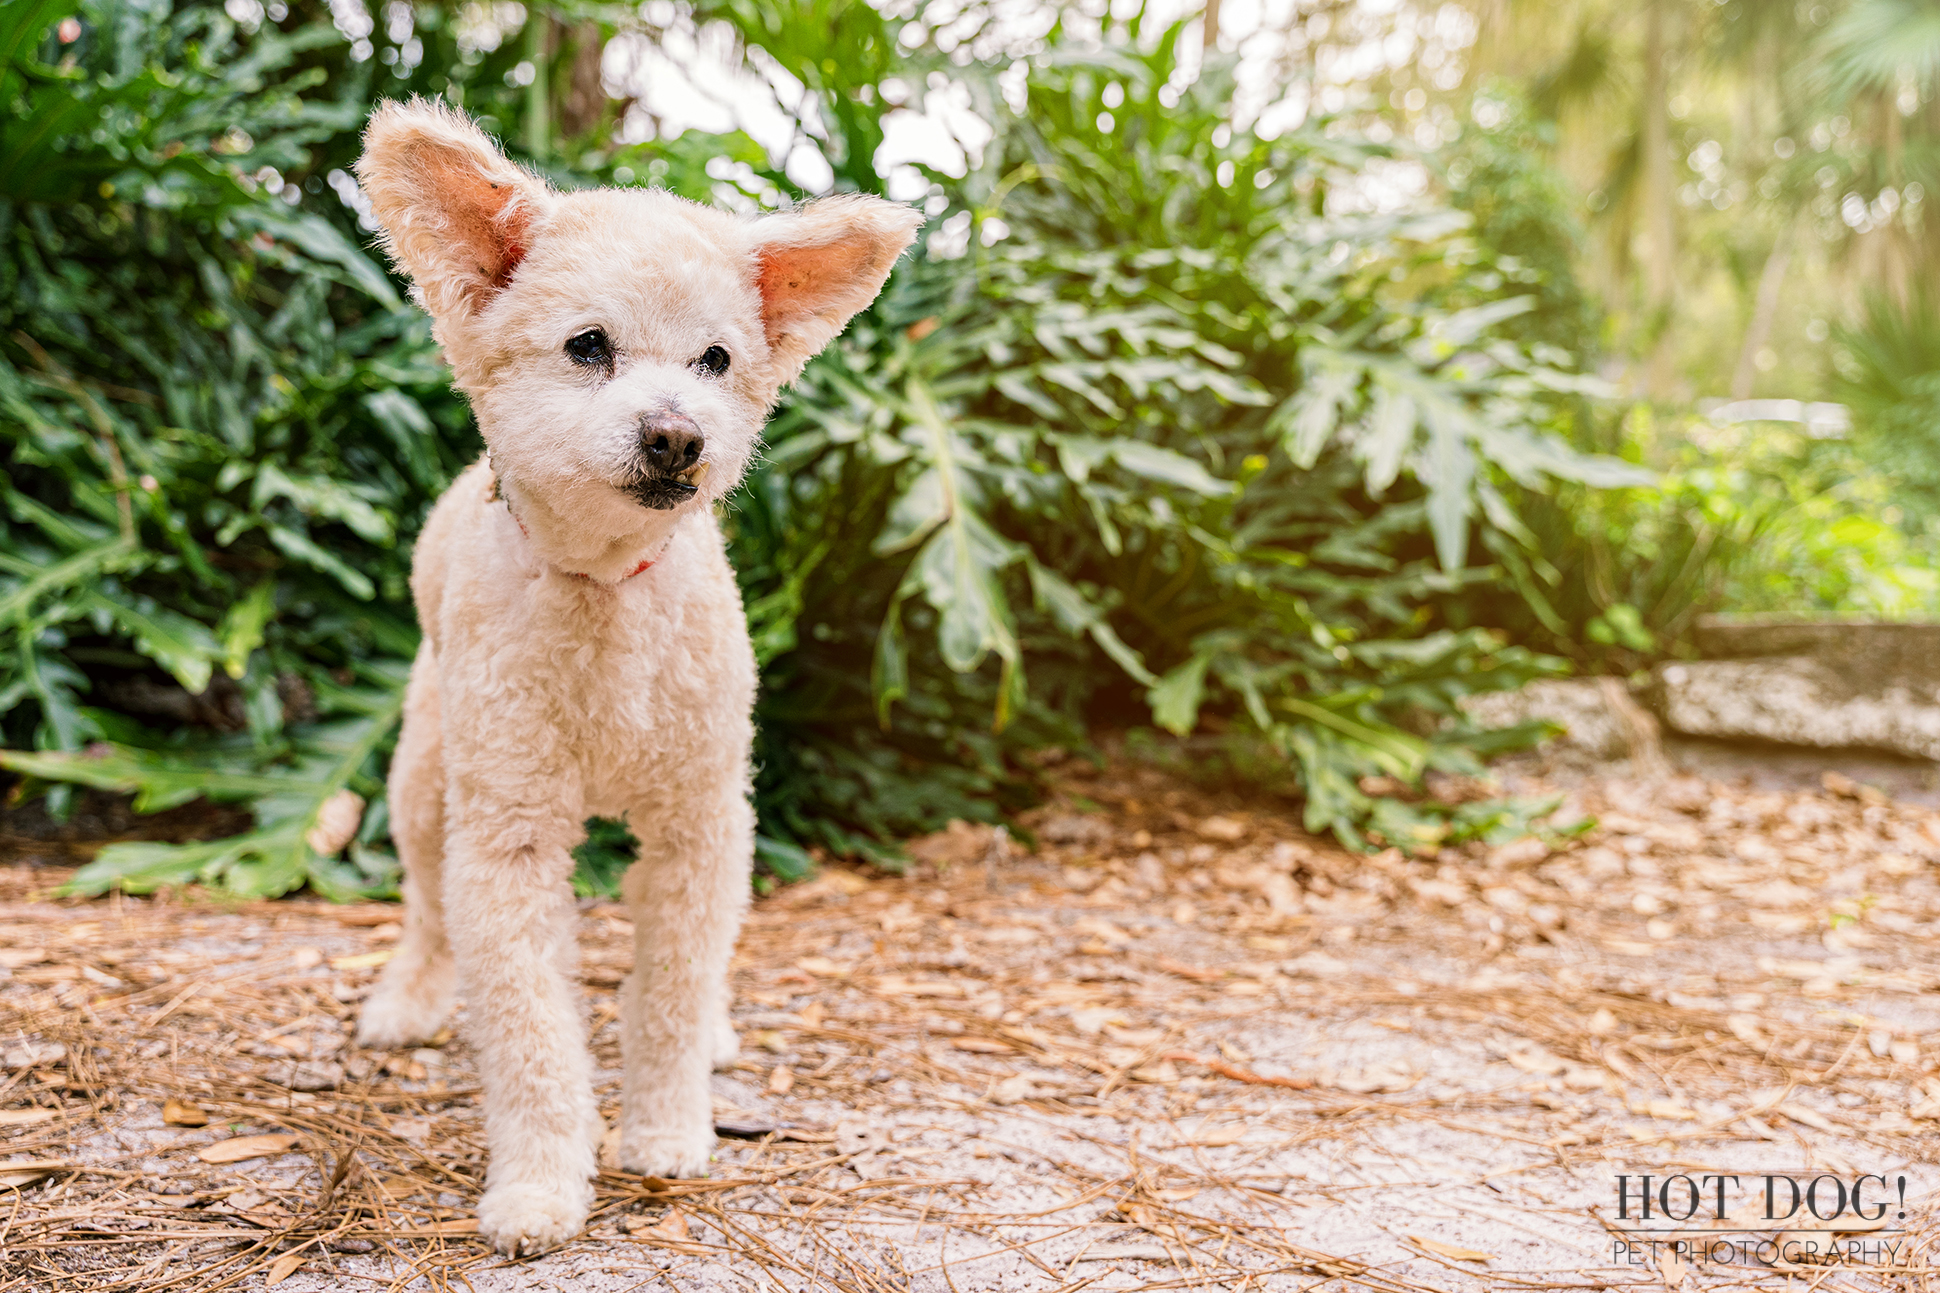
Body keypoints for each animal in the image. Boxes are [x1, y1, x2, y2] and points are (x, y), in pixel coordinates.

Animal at [351, 98, 923, 1250]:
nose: (676, 437)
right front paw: (538, 1183)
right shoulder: (508, 834)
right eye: (587, 345)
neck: (608, 591)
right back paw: (408, 999)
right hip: (423, 773)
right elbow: (527, 1025)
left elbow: (667, 992)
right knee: (428, 908)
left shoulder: (700, 819)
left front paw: (665, 1128)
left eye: (715, 359)